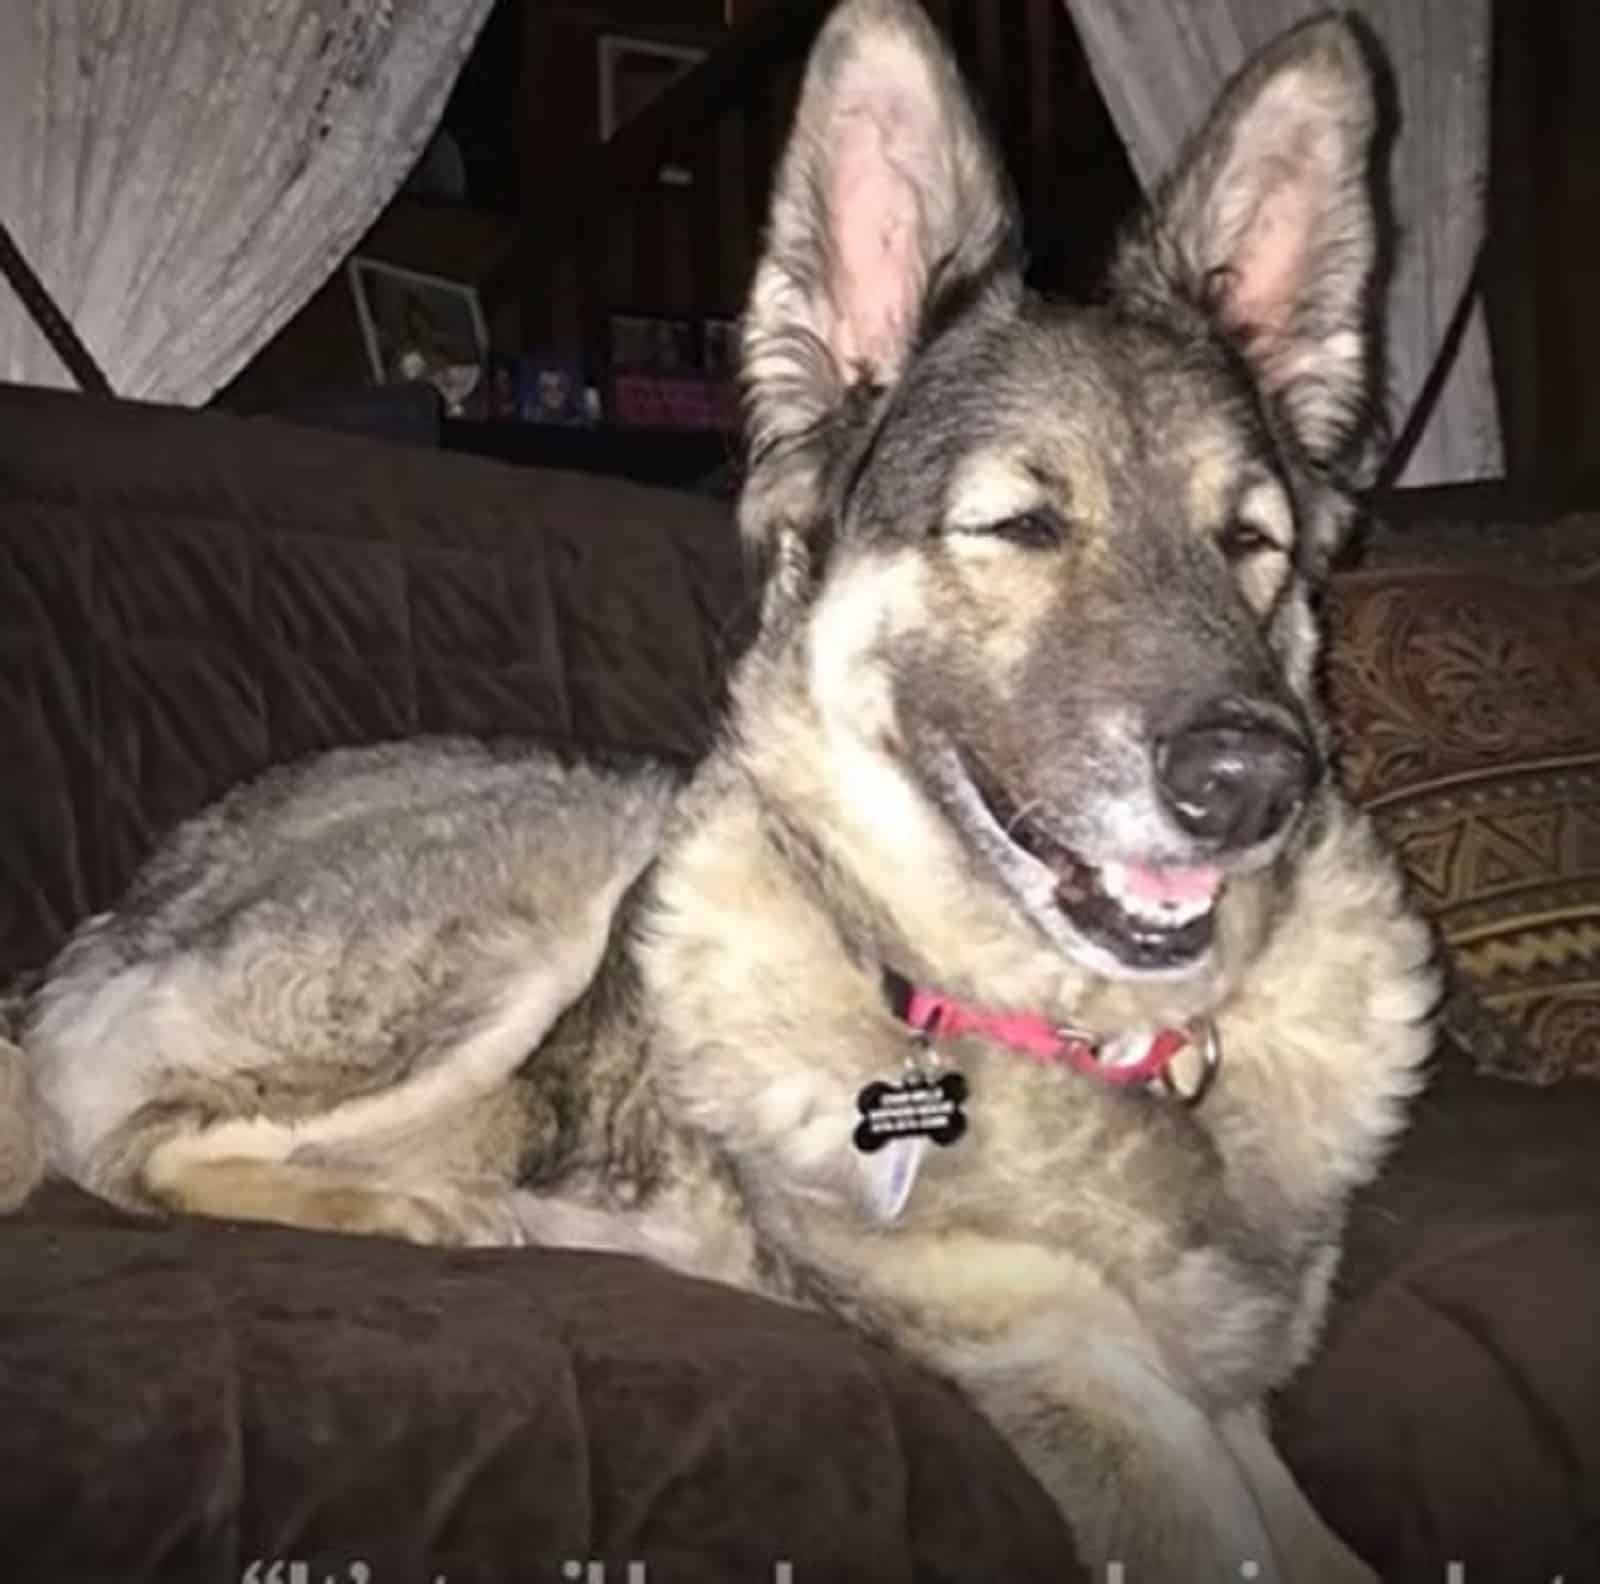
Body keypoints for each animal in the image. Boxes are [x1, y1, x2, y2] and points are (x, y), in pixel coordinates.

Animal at [21, 6, 1440, 1580]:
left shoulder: (1231, 1400)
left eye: (1249, 542)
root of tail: (126, 904)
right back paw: (420, 1207)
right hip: (534, 898)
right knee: (122, 1137)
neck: (1092, 1040)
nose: (1255, 782)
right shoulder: (1069, 1367)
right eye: (1019, 526)